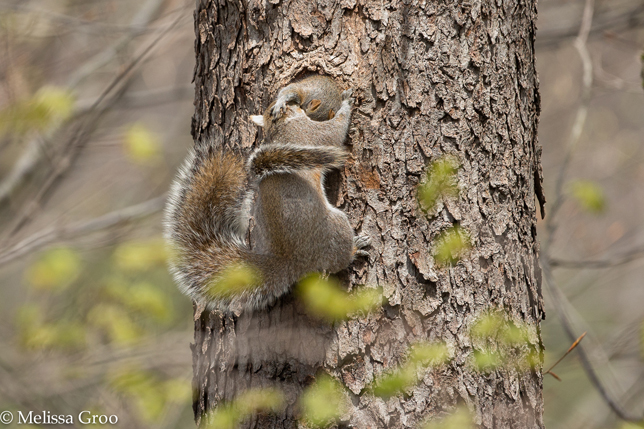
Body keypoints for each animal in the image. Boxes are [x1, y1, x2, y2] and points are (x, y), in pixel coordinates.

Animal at [164, 75, 370, 312]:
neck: (281, 127)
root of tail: (289, 261)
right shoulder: (314, 135)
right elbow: (336, 129)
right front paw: (347, 103)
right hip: (336, 227)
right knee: (339, 259)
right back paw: (356, 248)